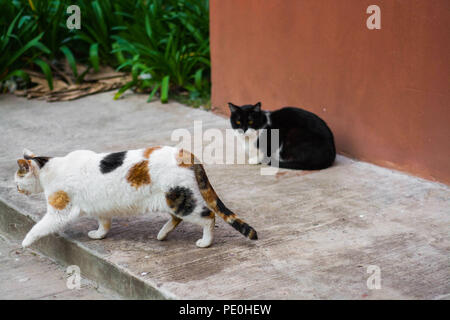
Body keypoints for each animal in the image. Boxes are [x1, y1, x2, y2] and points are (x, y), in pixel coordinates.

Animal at [14, 146, 256, 249]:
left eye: (17, 180)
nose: (17, 189)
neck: (47, 168)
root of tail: (185, 153)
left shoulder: (59, 210)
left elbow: (39, 226)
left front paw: (25, 242)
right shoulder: (100, 206)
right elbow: (104, 222)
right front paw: (99, 235)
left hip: (180, 199)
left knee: (208, 216)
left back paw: (205, 242)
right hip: (171, 198)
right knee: (177, 218)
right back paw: (161, 235)